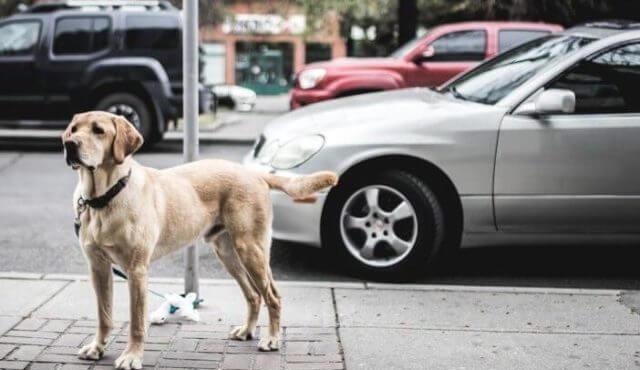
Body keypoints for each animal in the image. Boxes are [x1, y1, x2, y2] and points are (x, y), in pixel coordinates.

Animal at [62, 111, 338, 368]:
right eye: (74, 129)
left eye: (98, 130)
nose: (69, 144)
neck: (104, 197)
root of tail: (255, 174)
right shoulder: (98, 268)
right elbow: (104, 315)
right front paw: (97, 348)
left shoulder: (137, 270)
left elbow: (137, 322)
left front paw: (131, 356)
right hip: (228, 253)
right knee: (253, 295)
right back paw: (247, 331)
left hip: (251, 249)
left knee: (272, 295)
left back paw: (271, 339)